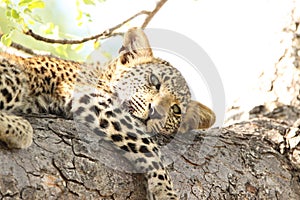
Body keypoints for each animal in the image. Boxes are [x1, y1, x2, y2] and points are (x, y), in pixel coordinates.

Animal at [0, 27, 216, 198]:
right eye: (154, 81)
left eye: (176, 110)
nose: (155, 112)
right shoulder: (92, 97)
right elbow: (149, 145)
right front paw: (165, 191)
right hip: (16, 76)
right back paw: (21, 130)